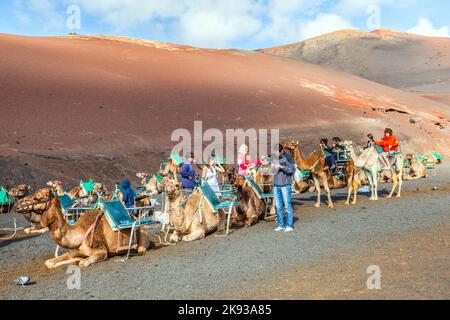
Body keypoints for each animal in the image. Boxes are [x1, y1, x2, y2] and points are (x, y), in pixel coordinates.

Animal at [15, 188, 150, 268]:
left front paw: (79, 260)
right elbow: (49, 262)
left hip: (142, 234)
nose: (17, 205)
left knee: (140, 249)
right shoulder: (72, 251)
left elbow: (82, 262)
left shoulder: (101, 251)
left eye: (37, 198)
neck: (79, 234)